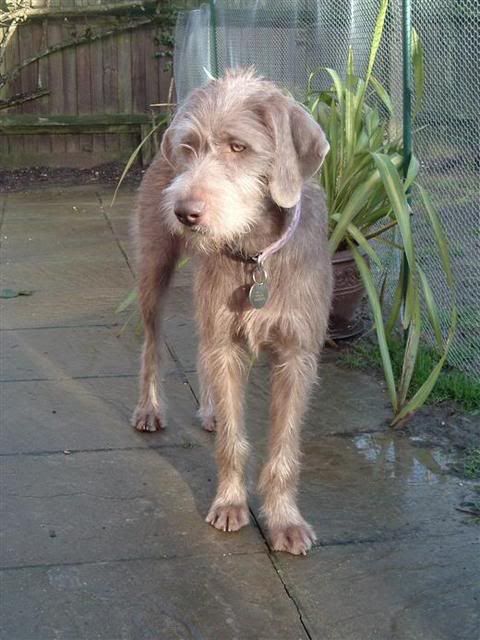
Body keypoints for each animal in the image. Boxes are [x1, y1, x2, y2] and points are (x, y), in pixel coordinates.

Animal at [131, 67, 334, 552]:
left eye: (238, 147)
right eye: (188, 148)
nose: (183, 212)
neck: (256, 252)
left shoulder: (297, 355)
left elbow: (284, 448)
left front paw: (284, 520)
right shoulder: (227, 342)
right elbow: (233, 440)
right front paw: (230, 503)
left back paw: (209, 411)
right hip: (154, 273)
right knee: (152, 345)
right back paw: (150, 409)